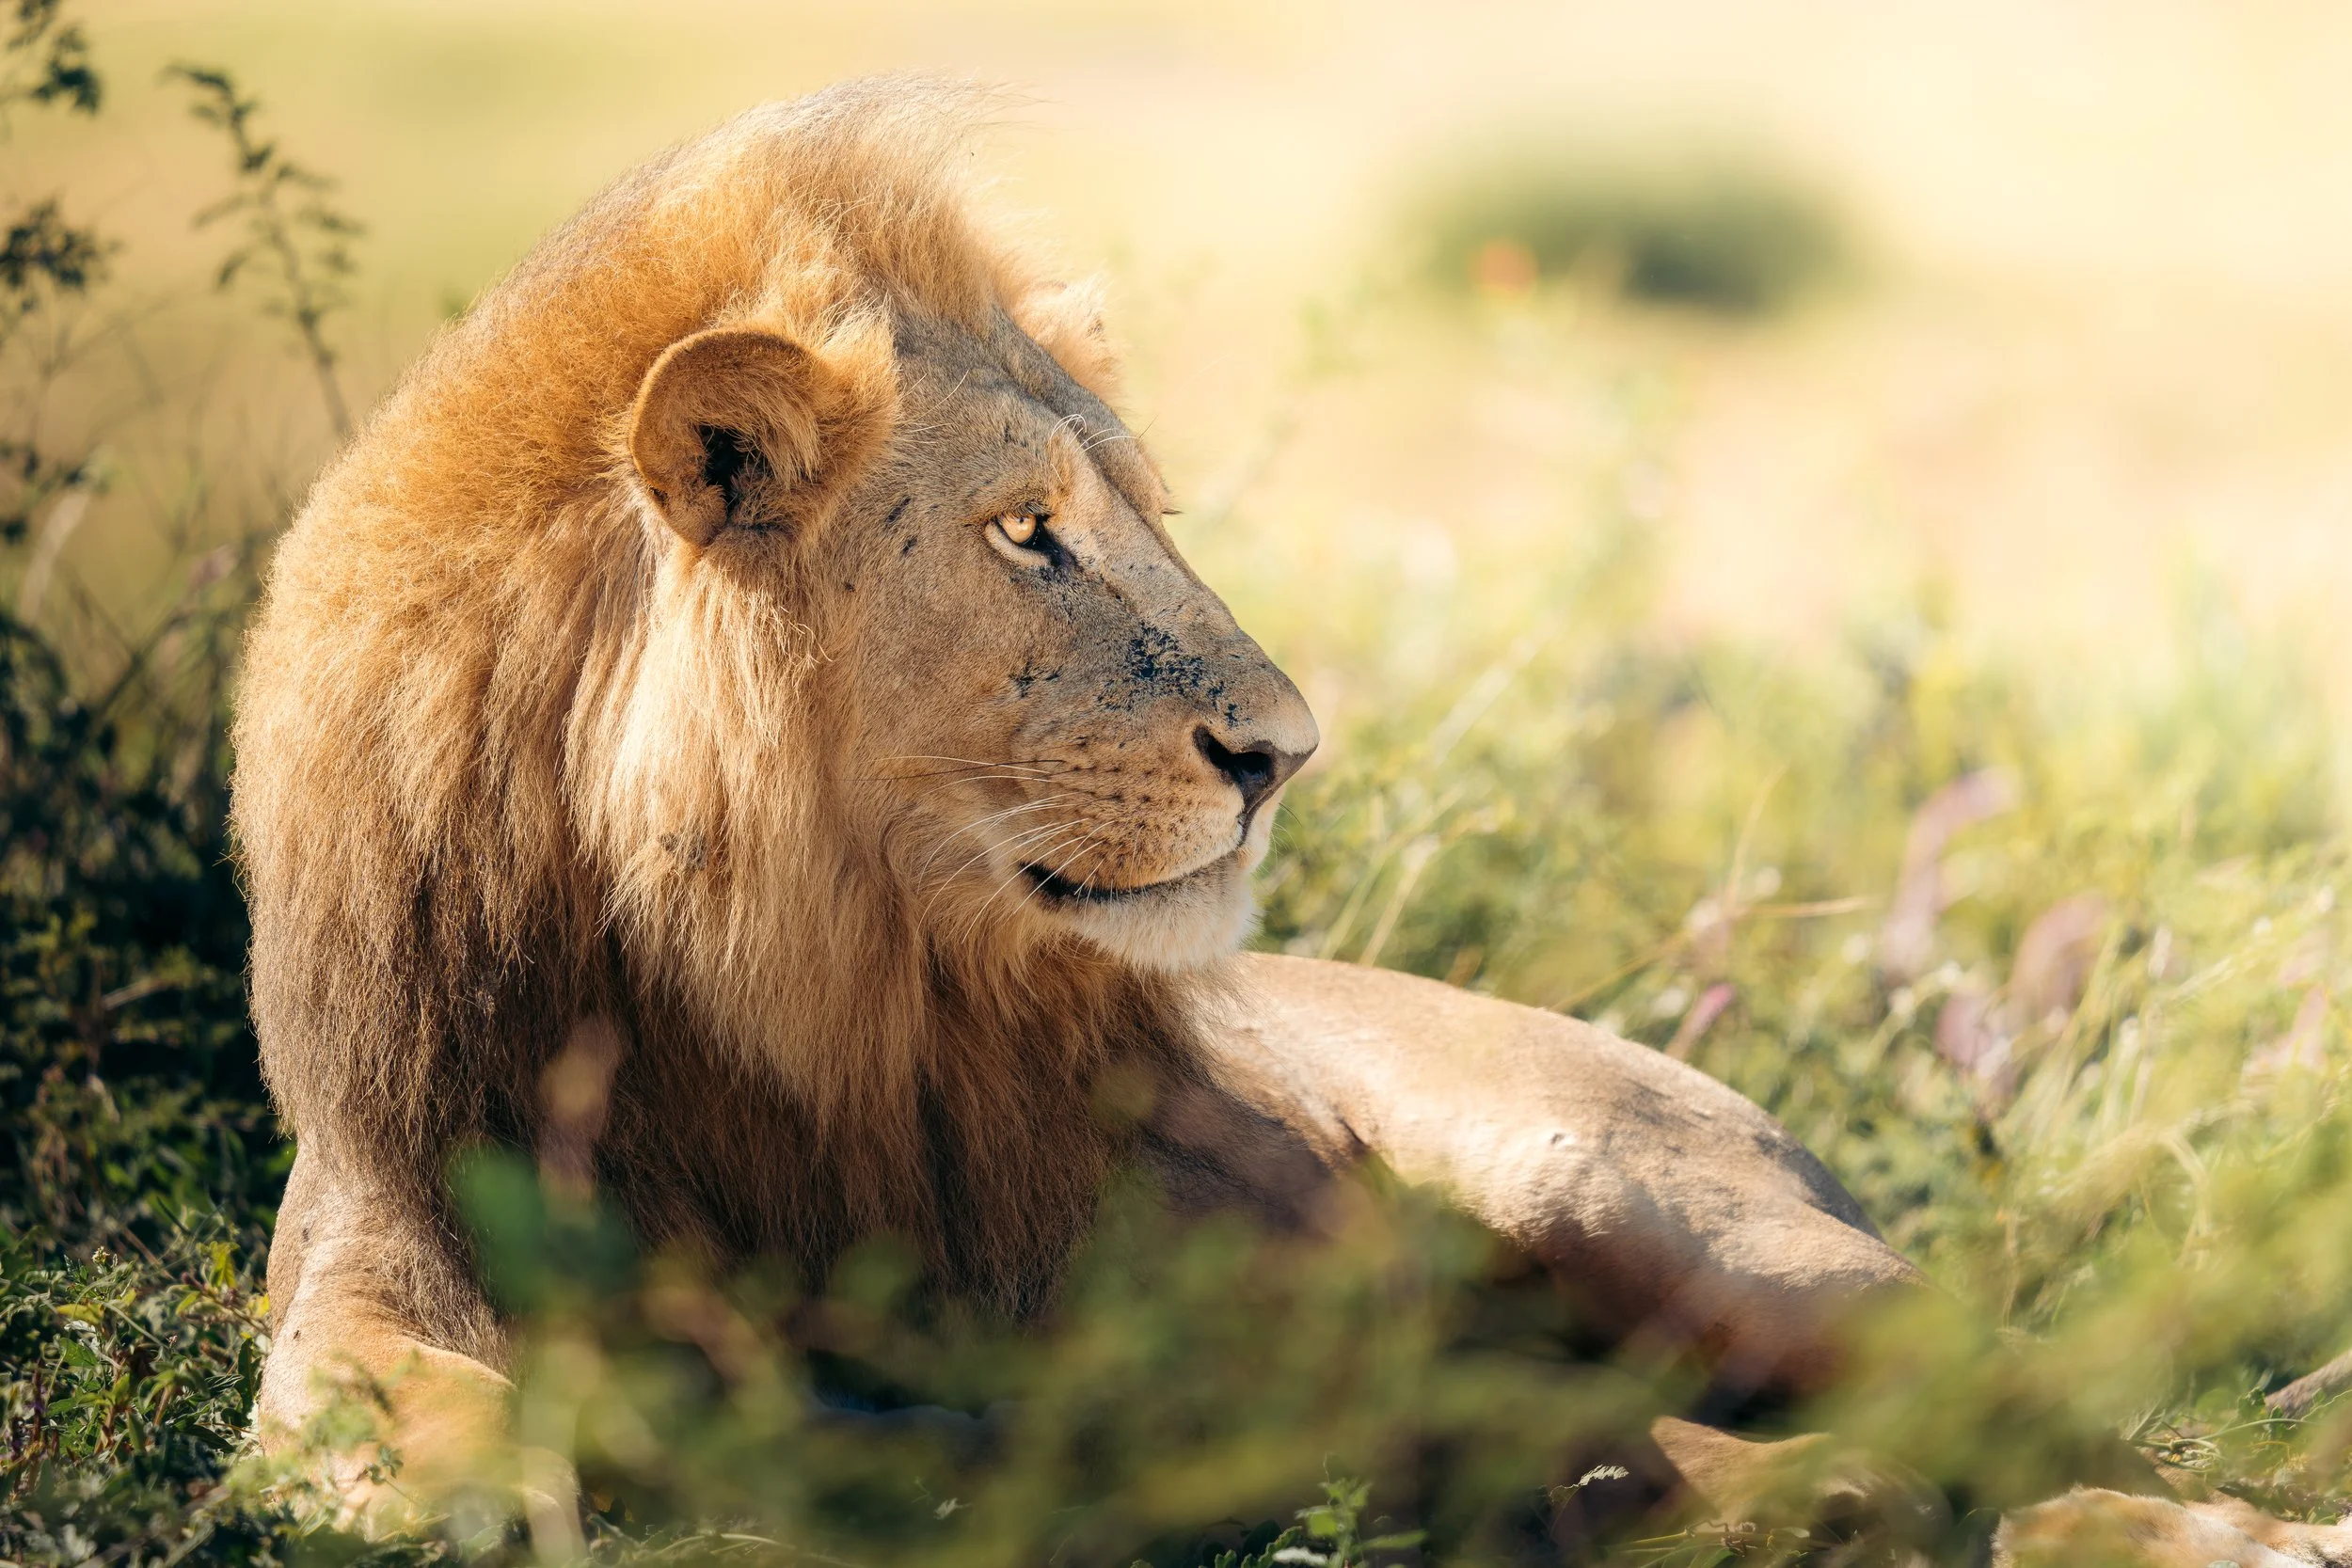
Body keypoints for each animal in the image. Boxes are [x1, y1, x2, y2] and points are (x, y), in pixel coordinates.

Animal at [234, 78, 1928, 1538]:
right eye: (1027, 530)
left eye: (1149, 514)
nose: (1286, 751)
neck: (806, 985)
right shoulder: (385, 1228)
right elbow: (374, 1409)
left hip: (1621, 1190)